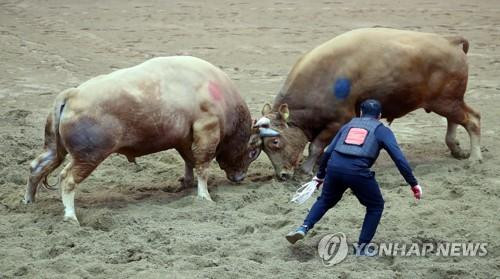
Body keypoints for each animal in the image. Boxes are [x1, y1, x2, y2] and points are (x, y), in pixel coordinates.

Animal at [24, 55, 262, 224]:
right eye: (252, 152)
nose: (240, 177)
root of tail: (72, 94)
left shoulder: (184, 139)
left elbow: (189, 161)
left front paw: (187, 182)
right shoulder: (207, 130)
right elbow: (202, 165)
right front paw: (204, 196)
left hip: (56, 149)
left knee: (37, 166)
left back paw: (29, 202)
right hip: (88, 156)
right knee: (68, 179)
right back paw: (70, 216)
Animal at [256, 28, 482, 180]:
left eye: (274, 142)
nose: (282, 175)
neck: (321, 81)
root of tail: (449, 41)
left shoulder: (340, 120)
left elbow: (316, 146)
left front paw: (305, 169)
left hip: (446, 102)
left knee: (473, 120)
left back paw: (474, 158)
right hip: (448, 101)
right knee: (455, 120)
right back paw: (457, 150)